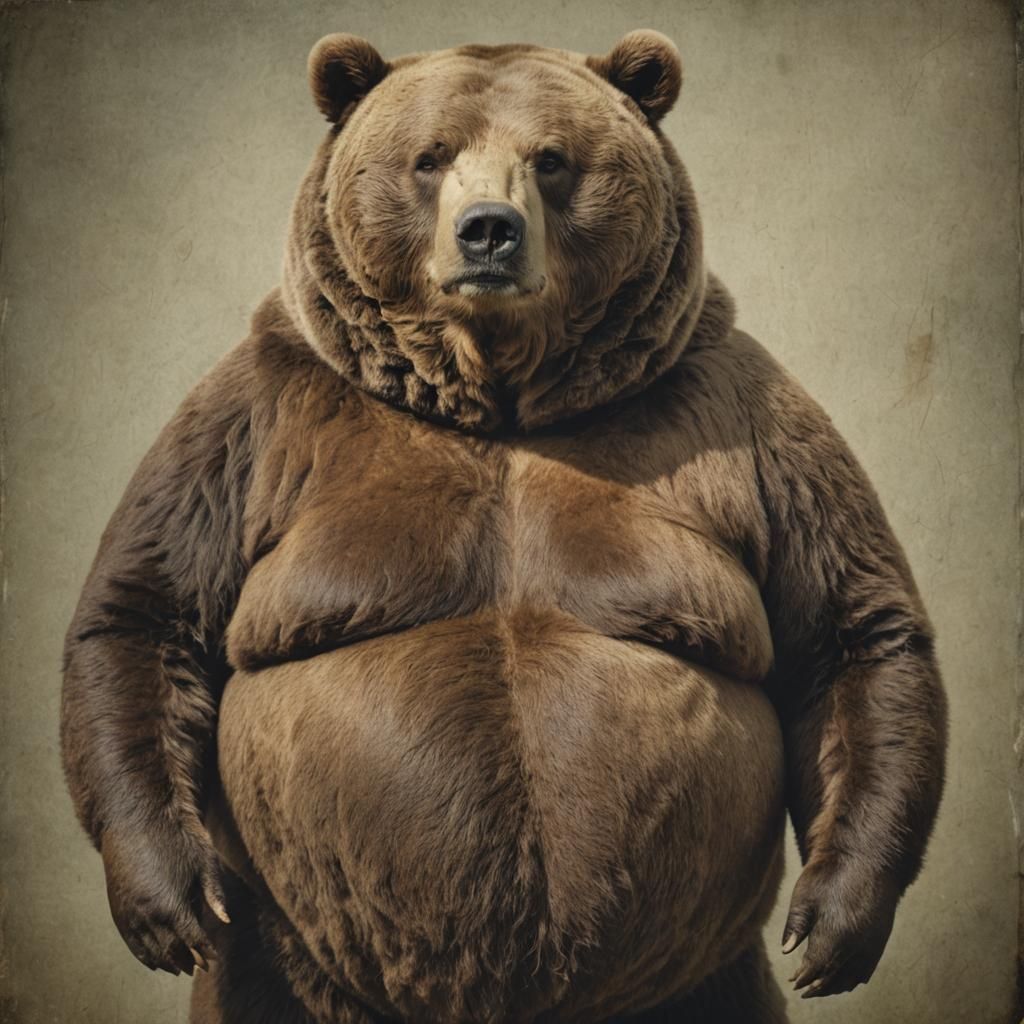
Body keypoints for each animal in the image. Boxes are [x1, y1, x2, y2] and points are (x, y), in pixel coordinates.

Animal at [59, 28, 948, 1024]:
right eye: (430, 155)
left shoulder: (737, 411)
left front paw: (835, 924)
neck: (500, 394)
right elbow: (149, 609)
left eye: (552, 158)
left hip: (701, 973)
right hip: (280, 956)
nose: (488, 229)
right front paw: (169, 902)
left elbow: (845, 631)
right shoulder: (258, 418)